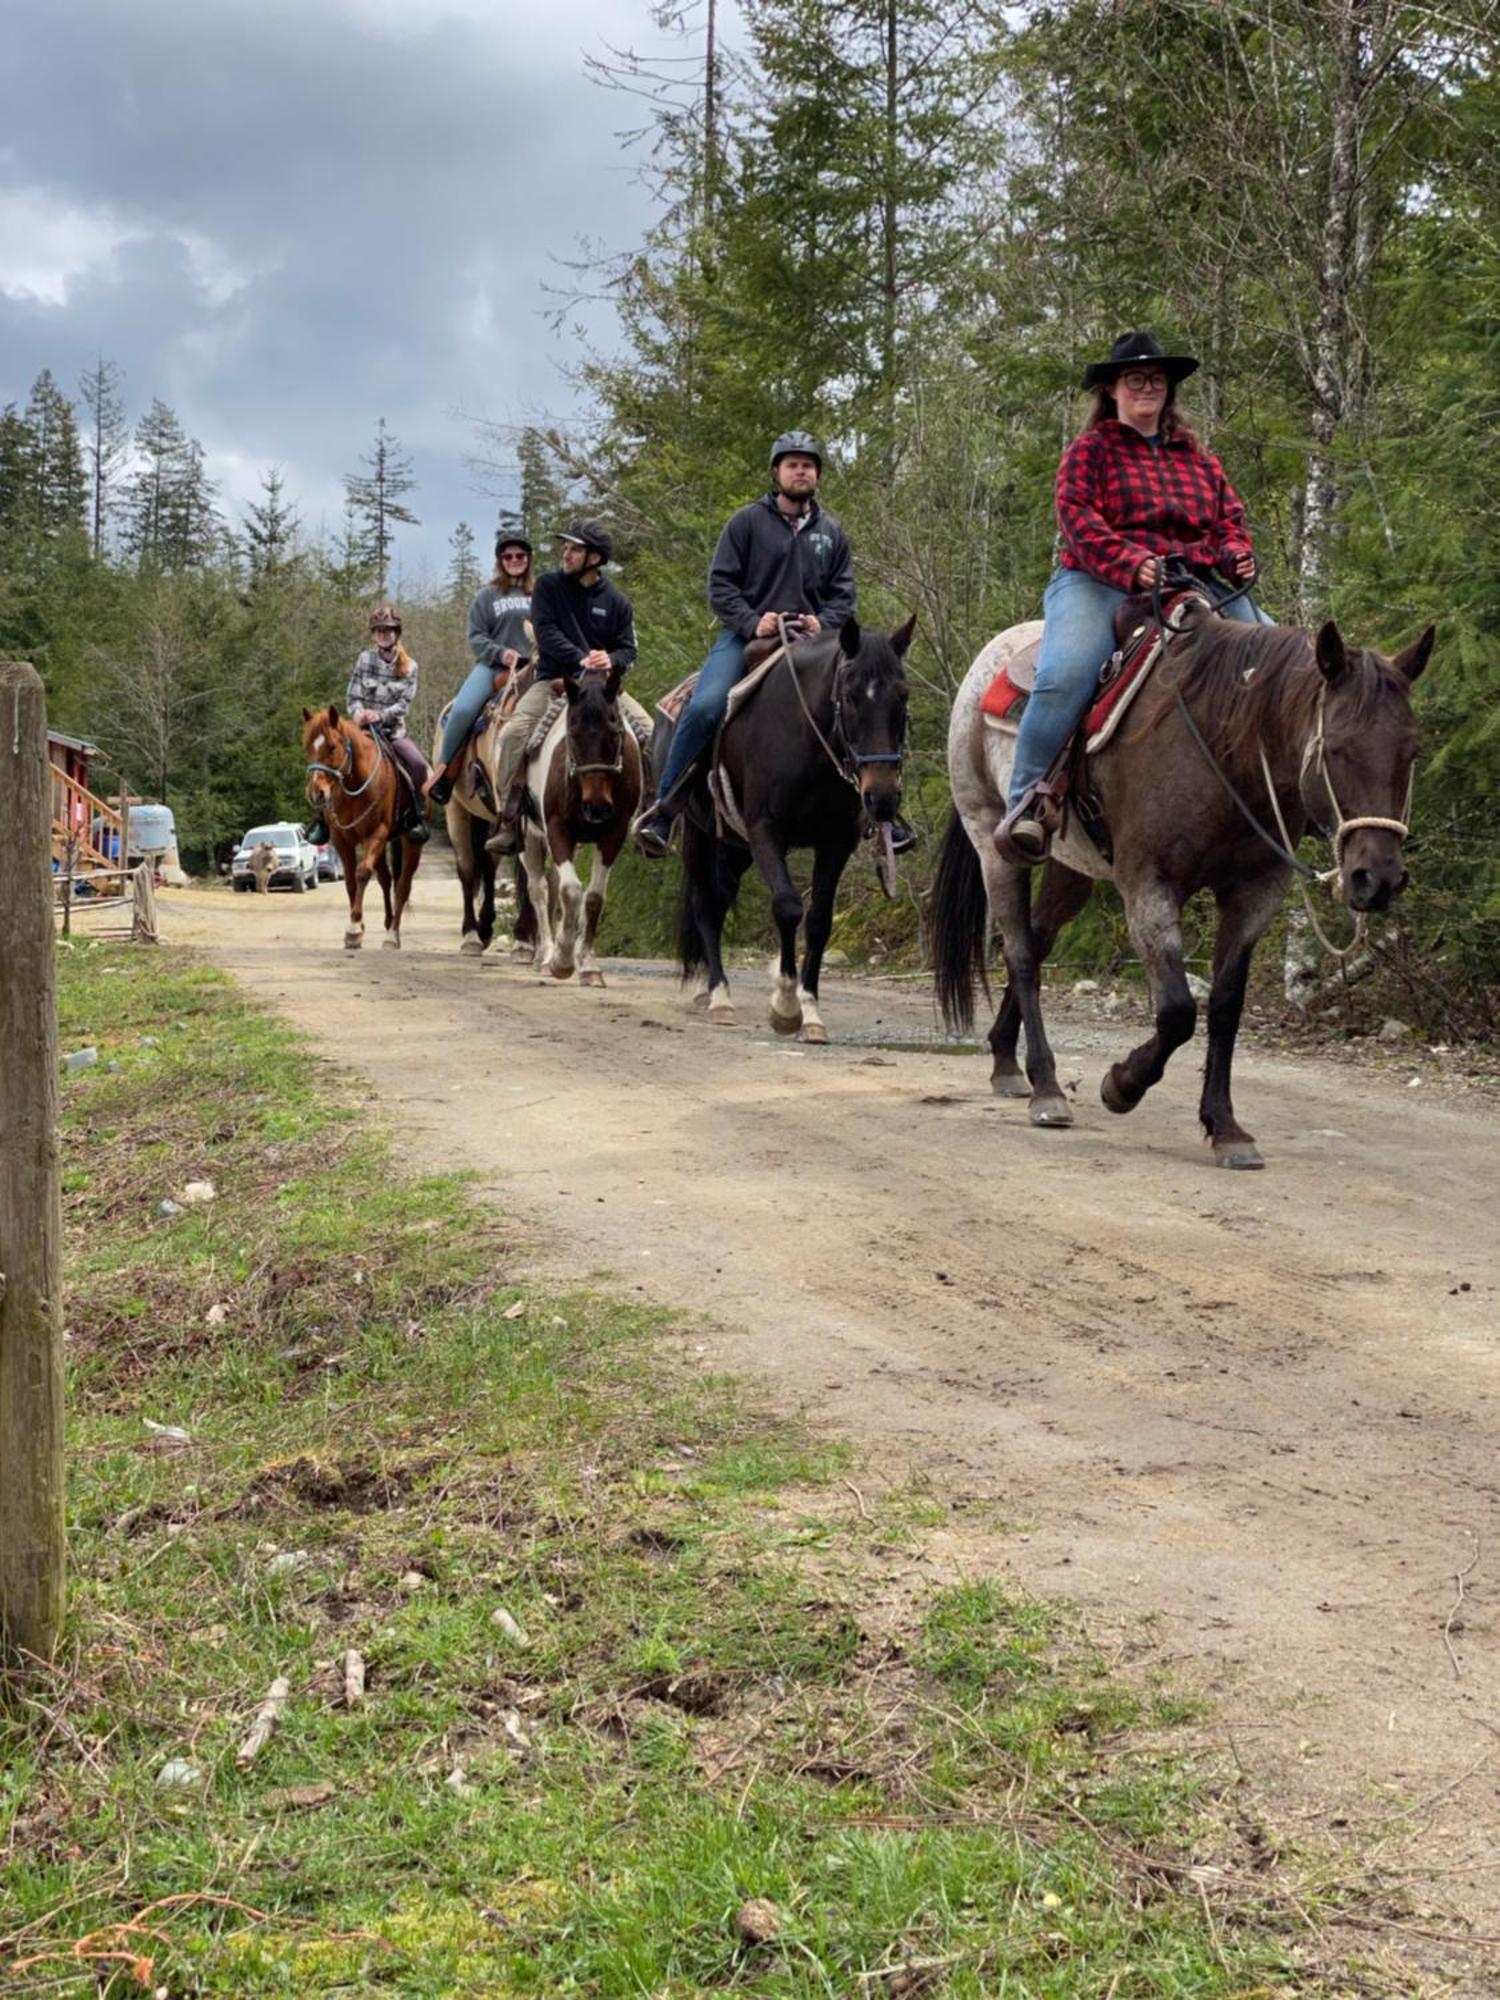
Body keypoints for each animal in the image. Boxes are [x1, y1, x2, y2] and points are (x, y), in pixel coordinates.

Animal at [302, 704, 424, 952]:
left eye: (332, 746)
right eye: (308, 748)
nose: (316, 793)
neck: (354, 786)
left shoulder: (376, 833)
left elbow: (362, 873)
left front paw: (355, 928)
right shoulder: (342, 839)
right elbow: (350, 880)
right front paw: (356, 927)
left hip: (409, 843)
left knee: (403, 885)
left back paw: (392, 935)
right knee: (386, 879)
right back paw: (387, 923)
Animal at [520, 664, 644, 984]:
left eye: (614, 733)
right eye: (572, 733)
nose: (596, 807)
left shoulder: (613, 834)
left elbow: (594, 897)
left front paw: (587, 965)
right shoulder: (557, 829)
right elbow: (570, 891)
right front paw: (562, 961)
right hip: (528, 838)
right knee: (539, 889)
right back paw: (546, 955)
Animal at [672, 616, 916, 1040]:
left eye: (902, 695)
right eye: (850, 695)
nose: (883, 798)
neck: (807, 740)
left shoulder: (836, 841)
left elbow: (819, 921)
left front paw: (812, 1012)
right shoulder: (766, 831)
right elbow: (787, 908)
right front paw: (785, 1007)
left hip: (734, 849)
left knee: (719, 904)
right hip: (699, 837)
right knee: (705, 907)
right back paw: (720, 997)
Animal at [936, 600, 1440, 1168]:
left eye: (1413, 750)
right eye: (1335, 748)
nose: (1378, 879)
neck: (1224, 751)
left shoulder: (1254, 894)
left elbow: (1224, 1007)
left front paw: (1226, 1128)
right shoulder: (1149, 886)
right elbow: (1177, 1011)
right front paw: (1121, 1085)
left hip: (1070, 868)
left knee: (1039, 941)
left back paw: (1005, 1057)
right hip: (991, 839)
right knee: (1021, 952)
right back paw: (1045, 1088)